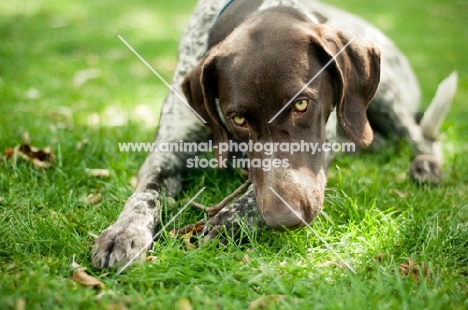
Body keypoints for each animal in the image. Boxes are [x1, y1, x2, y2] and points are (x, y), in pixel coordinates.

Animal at [89, 0, 456, 268]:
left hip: (387, 92)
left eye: (302, 104)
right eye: (238, 118)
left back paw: (426, 164)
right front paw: (124, 231)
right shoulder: (168, 150)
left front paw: (231, 219)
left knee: (419, 135)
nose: (284, 219)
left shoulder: (322, 151)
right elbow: (145, 193)